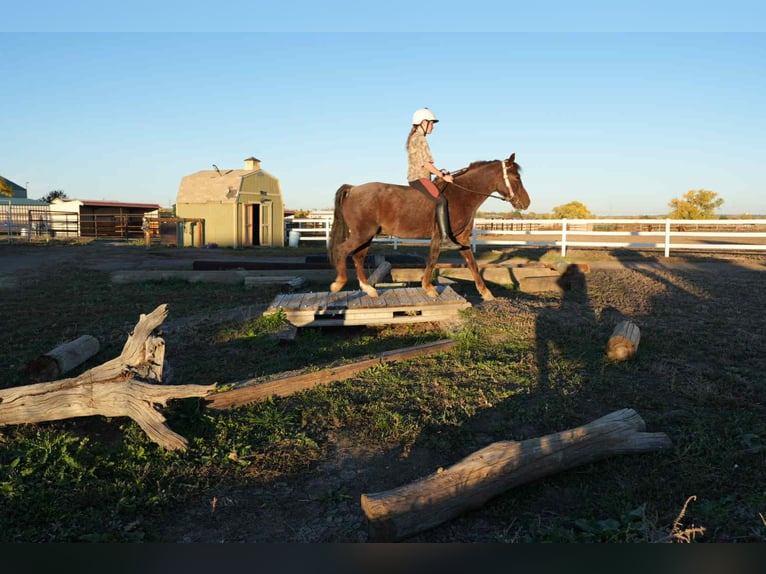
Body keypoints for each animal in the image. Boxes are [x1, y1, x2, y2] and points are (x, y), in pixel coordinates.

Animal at [327, 153, 530, 301]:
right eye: (516, 177)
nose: (526, 202)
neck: (461, 195)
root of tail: (353, 189)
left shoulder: (461, 239)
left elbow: (472, 264)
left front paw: (486, 293)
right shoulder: (439, 236)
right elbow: (432, 259)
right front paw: (429, 288)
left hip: (366, 236)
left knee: (358, 257)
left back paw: (369, 289)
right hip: (362, 234)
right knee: (343, 250)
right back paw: (338, 284)